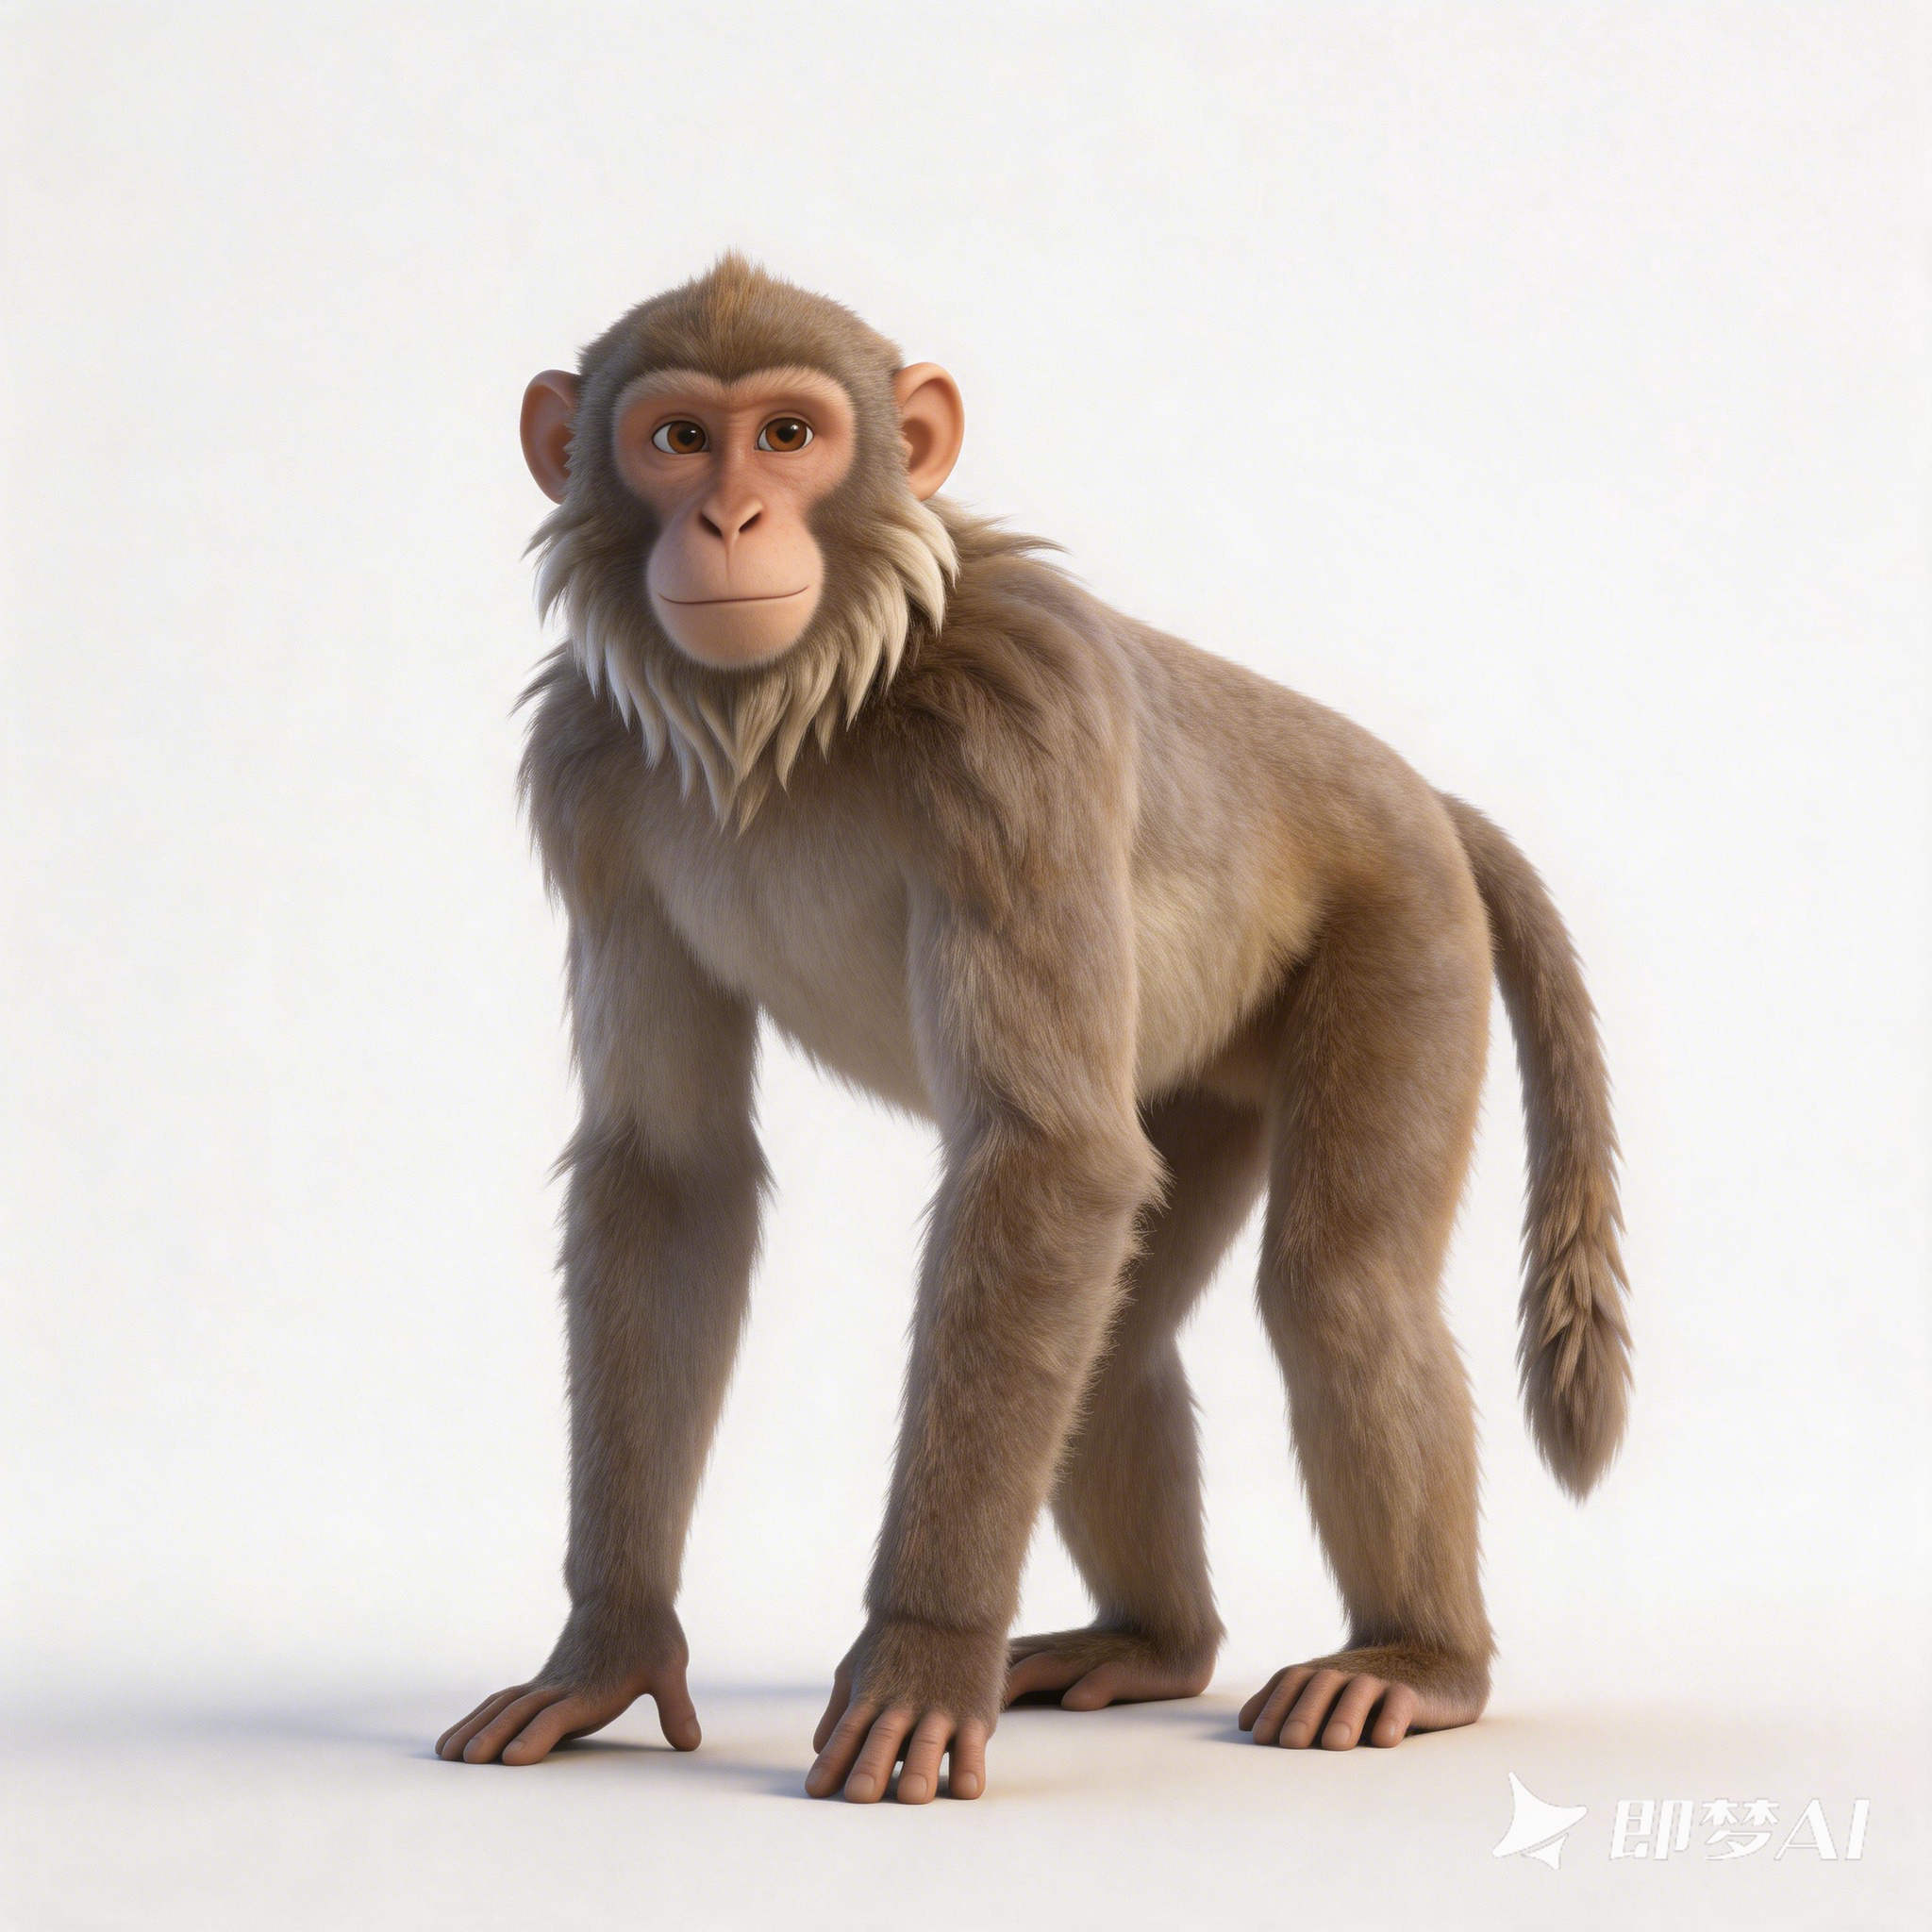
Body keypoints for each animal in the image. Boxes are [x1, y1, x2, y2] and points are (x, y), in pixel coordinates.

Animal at [435, 255, 1630, 1805]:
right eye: (678, 439)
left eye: (788, 436)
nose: (729, 521)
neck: (793, 705)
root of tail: (1421, 792)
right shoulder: (588, 779)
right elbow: (673, 1175)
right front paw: (609, 1649)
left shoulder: (1015, 734)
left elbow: (1046, 1155)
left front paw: (919, 1659)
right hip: (1219, 1068)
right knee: (1110, 1327)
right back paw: (1155, 1645)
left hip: (1406, 927)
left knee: (1335, 1287)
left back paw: (1421, 1665)